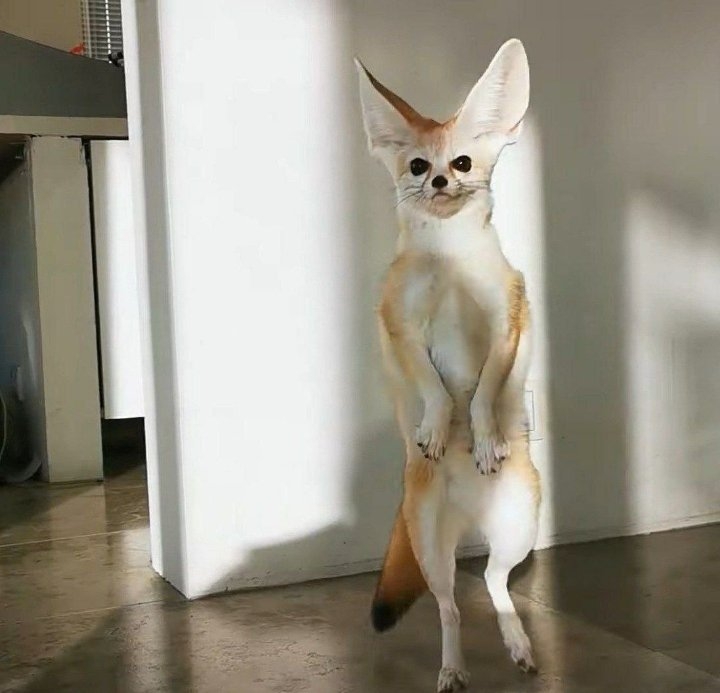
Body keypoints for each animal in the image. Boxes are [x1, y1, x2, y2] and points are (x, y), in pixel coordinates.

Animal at [355, 39, 541, 692]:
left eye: (460, 163)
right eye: (416, 167)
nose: (437, 180)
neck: (450, 259)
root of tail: (468, 520)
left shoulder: (508, 321)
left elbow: (481, 393)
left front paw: (482, 437)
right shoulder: (401, 326)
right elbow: (436, 390)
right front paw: (436, 430)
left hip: (520, 528)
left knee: (493, 584)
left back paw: (518, 644)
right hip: (431, 549)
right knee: (450, 606)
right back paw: (453, 668)